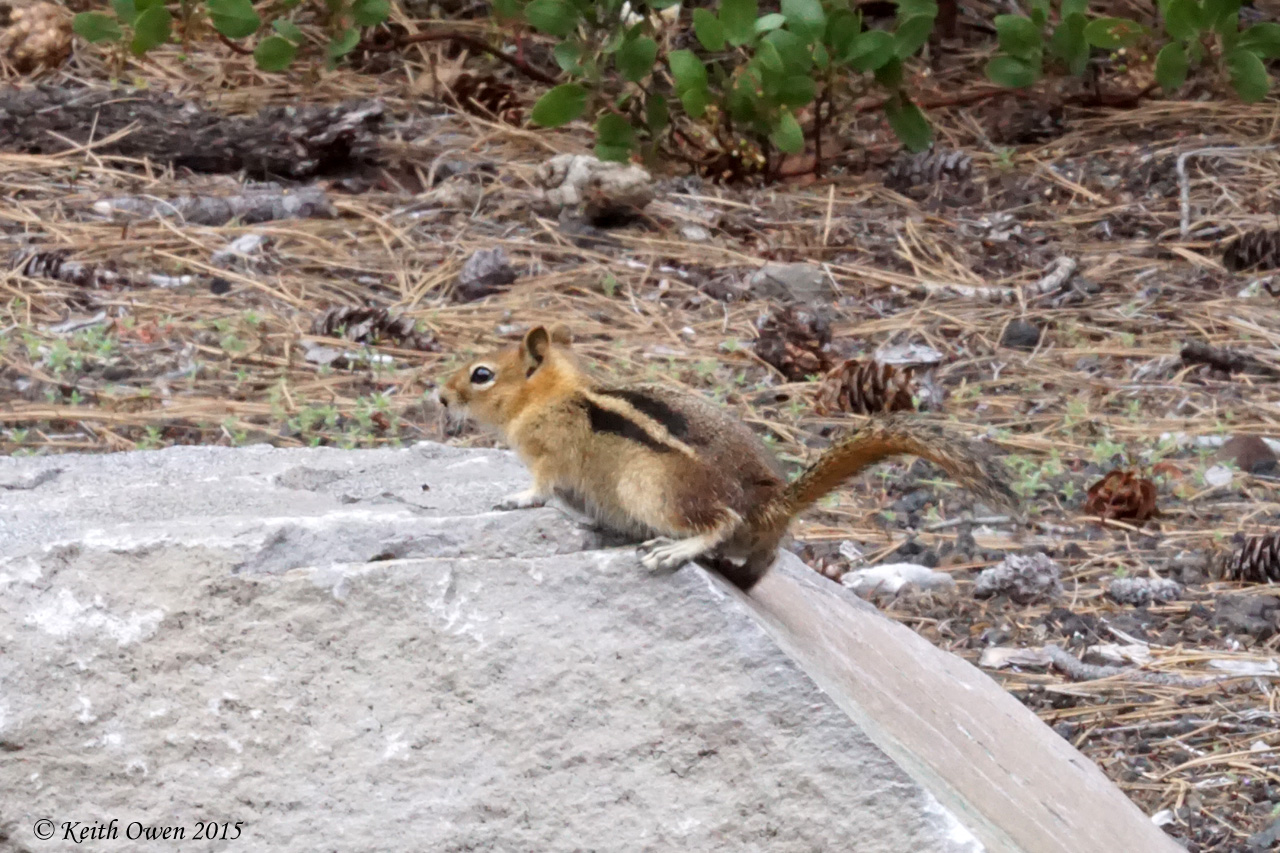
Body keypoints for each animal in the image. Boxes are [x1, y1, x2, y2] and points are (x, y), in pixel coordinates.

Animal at [437, 325, 1018, 592]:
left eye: (481, 374)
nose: (439, 396)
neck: (555, 395)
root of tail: (771, 506)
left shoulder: (548, 454)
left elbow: (539, 487)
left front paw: (513, 499)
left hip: (653, 490)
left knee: (721, 521)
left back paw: (673, 550)